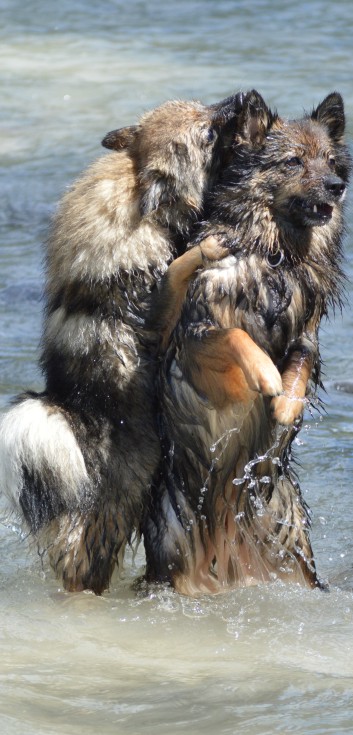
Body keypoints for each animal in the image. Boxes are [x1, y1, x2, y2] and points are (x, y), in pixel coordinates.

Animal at [0, 95, 242, 596]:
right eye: (208, 133)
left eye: (203, 105)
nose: (241, 99)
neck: (137, 199)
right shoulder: (156, 312)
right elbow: (179, 265)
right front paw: (207, 248)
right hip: (110, 510)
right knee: (82, 566)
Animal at [143, 90, 350, 600]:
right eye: (293, 161)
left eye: (330, 160)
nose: (337, 186)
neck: (275, 254)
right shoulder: (197, 346)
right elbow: (234, 335)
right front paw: (266, 375)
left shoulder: (308, 334)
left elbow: (300, 359)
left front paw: (288, 403)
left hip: (295, 556)